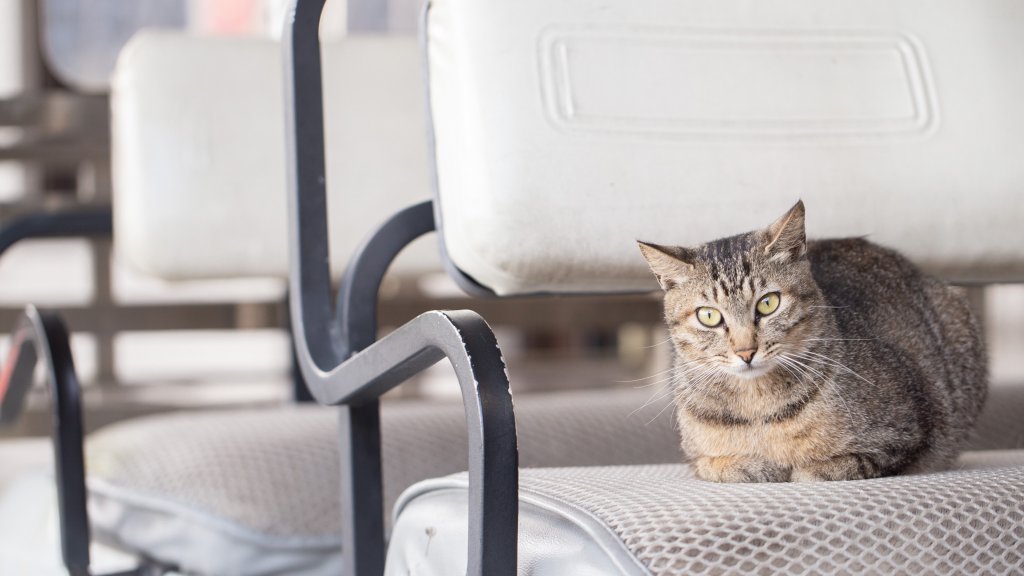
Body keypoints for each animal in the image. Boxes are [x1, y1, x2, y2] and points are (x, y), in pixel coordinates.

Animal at [638, 201, 983, 479]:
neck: (756, 407)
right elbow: (711, 464)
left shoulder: (908, 433)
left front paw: (807, 468)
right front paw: (748, 465)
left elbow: (842, 464)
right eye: (709, 316)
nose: (746, 351)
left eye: (768, 303)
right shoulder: (696, 456)